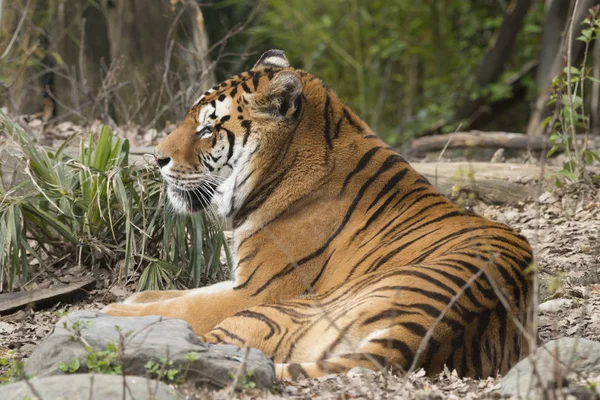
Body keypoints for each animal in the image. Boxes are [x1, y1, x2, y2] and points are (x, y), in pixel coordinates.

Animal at [103, 48, 536, 380]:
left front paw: (113, 309)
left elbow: (182, 306)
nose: (157, 158)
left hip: (276, 311)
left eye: (208, 129)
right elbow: (177, 292)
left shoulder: (256, 288)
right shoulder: (239, 280)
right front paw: (135, 296)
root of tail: (421, 331)